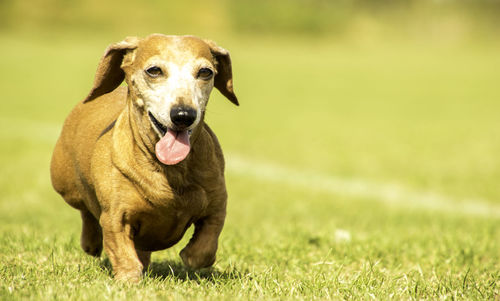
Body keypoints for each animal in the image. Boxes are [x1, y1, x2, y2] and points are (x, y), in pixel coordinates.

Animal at [49, 34, 237, 280]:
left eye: (205, 72)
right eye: (154, 70)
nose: (183, 115)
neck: (169, 170)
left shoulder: (217, 208)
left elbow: (204, 249)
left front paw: (190, 255)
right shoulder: (115, 218)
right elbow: (121, 249)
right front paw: (129, 277)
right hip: (66, 187)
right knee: (86, 211)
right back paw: (91, 242)